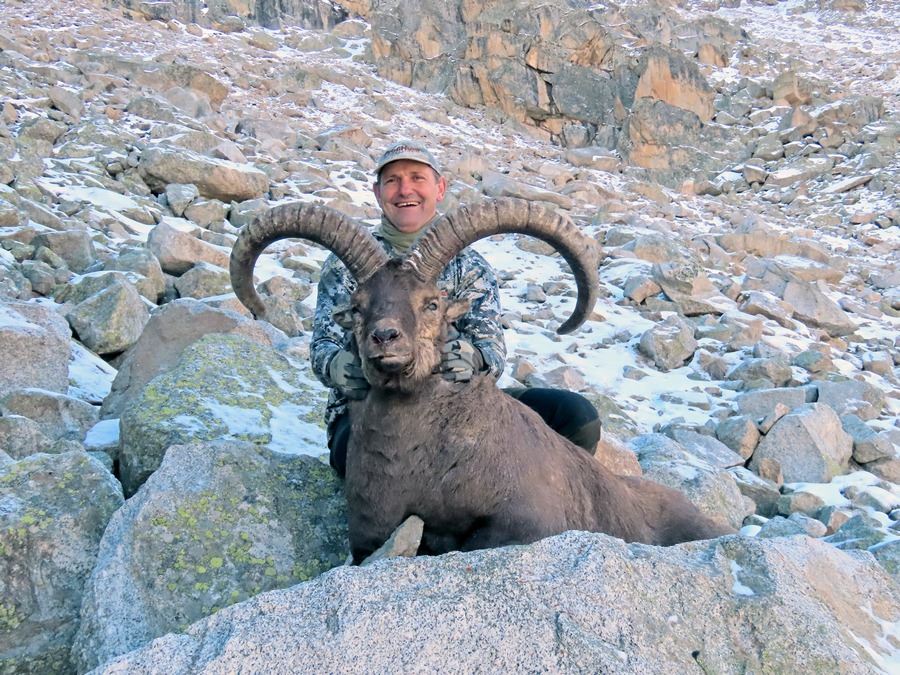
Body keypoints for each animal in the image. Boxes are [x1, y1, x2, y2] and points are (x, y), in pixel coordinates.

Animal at [230, 198, 734, 563]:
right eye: (357, 304)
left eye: (432, 303)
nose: (385, 337)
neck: (422, 459)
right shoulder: (370, 534)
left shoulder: (530, 522)